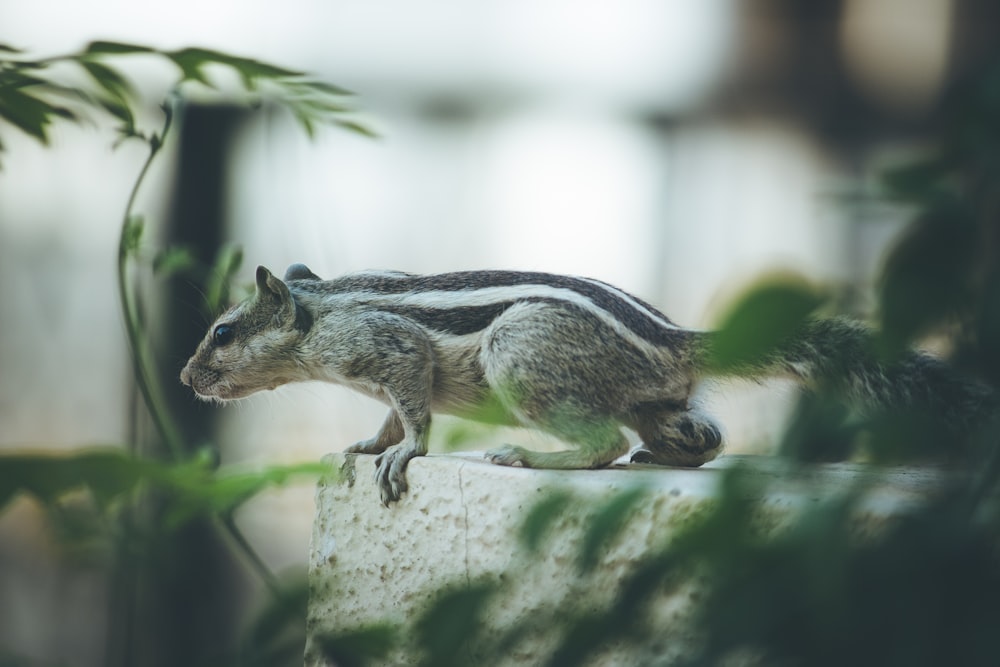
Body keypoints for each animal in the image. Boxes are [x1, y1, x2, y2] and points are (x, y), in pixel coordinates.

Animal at [182, 264, 1000, 504]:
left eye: (221, 333)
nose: (188, 378)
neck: (319, 312)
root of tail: (674, 340)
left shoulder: (389, 350)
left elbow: (411, 410)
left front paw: (401, 453)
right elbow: (385, 414)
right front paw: (363, 442)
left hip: (520, 353)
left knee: (601, 444)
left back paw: (531, 456)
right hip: (657, 399)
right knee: (701, 435)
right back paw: (664, 453)